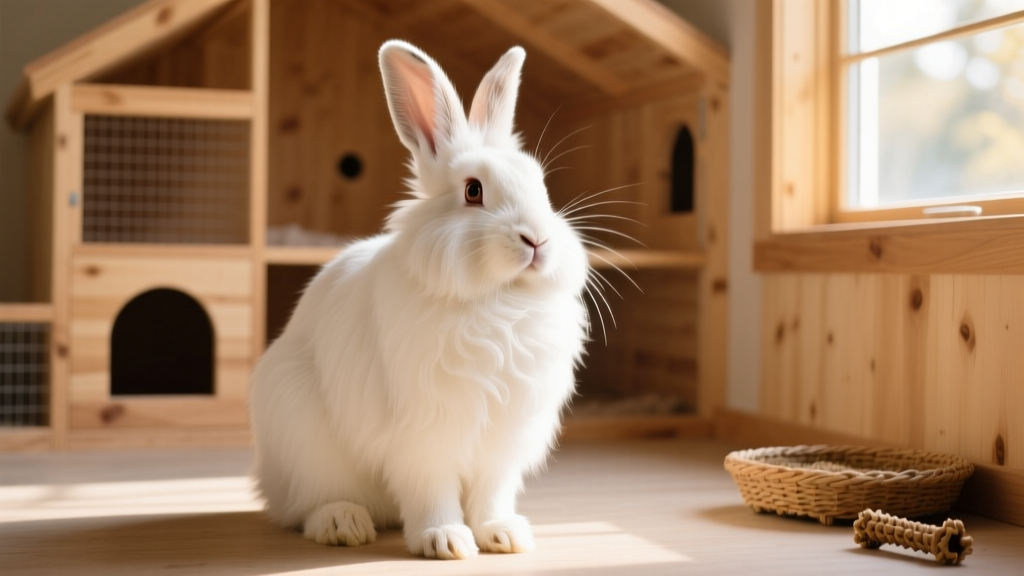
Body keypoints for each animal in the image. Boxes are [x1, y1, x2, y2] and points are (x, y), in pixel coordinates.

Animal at [249, 39, 590, 560]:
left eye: (542, 186)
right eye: (473, 190)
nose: (538, 239)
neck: (497, 299)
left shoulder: (503, 442)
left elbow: (492, 492)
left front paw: (504, 535)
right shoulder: (425, 432)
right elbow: (431, 488)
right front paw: (445, 540)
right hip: (303, 433)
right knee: (308, 505)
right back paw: (344, 523)